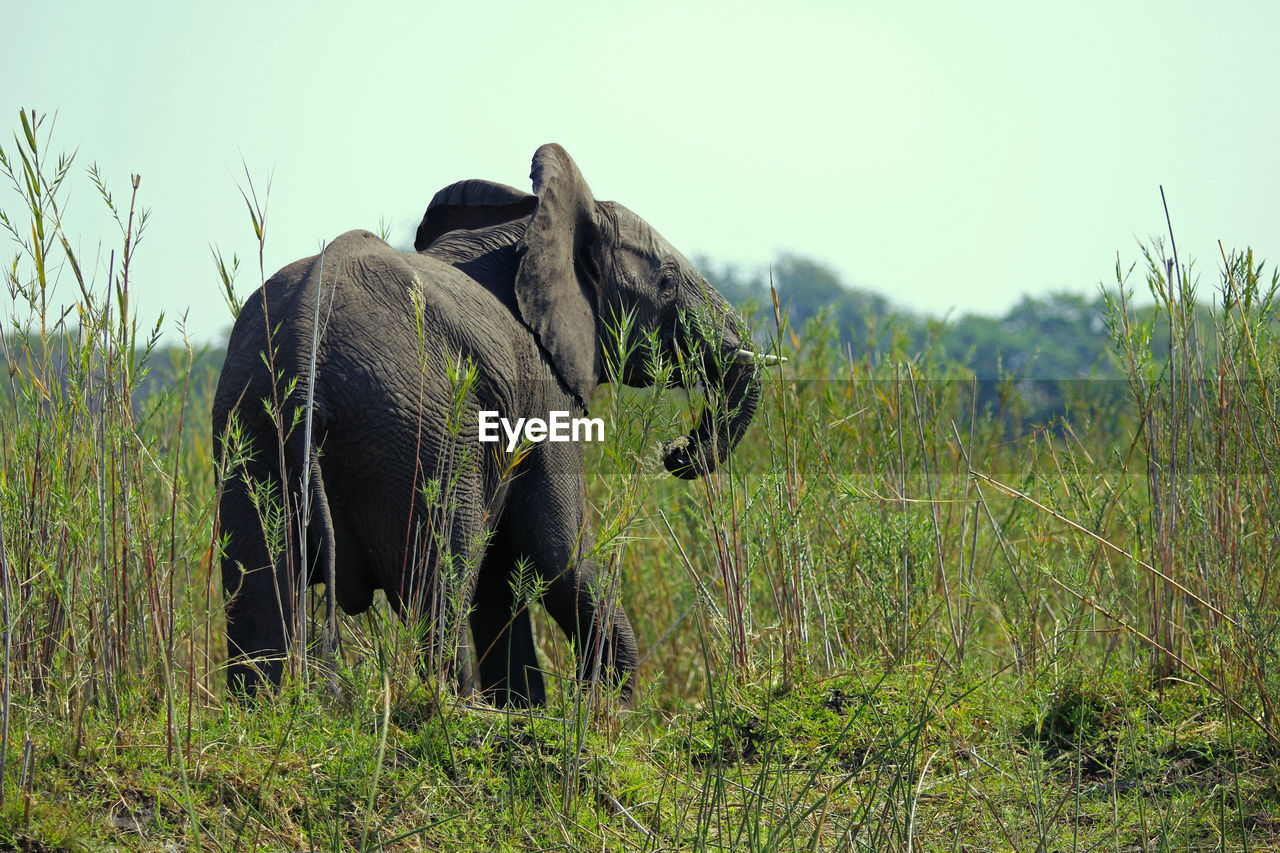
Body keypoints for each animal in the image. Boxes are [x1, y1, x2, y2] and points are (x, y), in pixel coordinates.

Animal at [215, 144, 762, 701]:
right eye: (667, 282)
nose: (677, 453)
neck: (532, 225)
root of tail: (305, 346)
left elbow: (503, 577)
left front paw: (529, 711)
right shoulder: (543, 389)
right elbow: (558, 554)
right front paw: (608, 714)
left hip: (253, 430)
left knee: (259, 598)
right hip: (417, 436)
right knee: (439, 589)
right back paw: (455, 711)